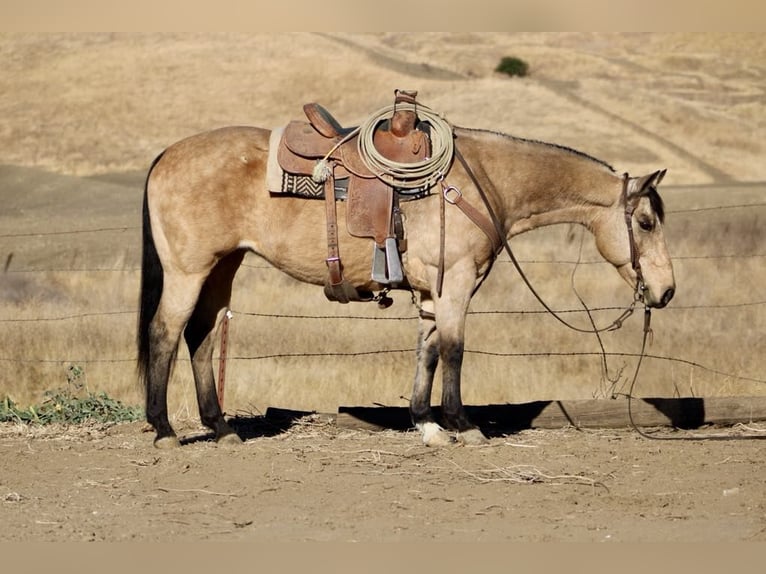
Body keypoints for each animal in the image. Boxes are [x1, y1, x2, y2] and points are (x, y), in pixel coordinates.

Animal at [137, 123, 675, 448]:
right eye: (646, 222)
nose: (666, 291)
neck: (483, 183)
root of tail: (166, 154)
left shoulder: (434, 291)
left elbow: (429, 351)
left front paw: (427, 423)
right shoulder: (456, 282)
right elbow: (455, 350)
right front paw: (463, 425)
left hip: (222, 267)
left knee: (202, 337)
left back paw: (221, 428)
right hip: (189, 271)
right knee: (165, 333)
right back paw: (164, 431)